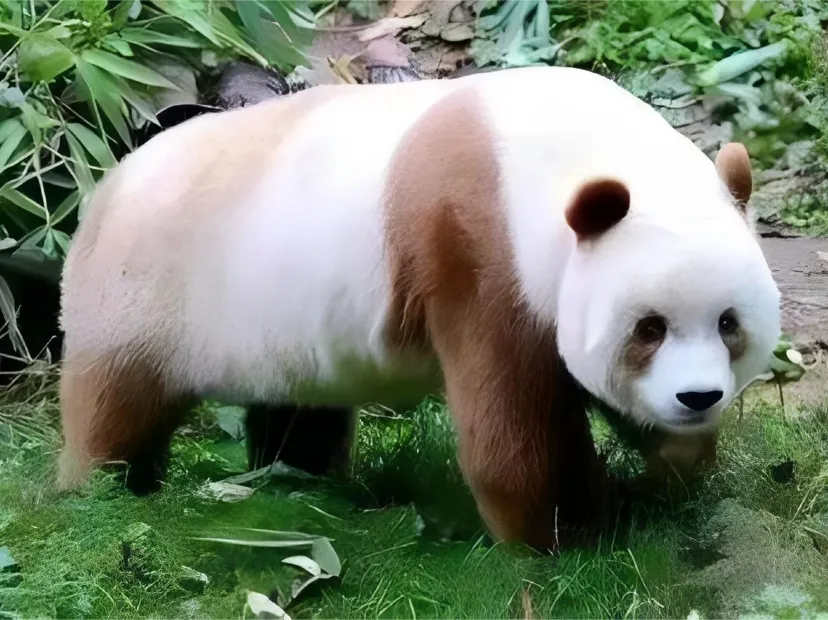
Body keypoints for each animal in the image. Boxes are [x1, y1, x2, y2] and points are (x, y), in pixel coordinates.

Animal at [55, 66, 781, 551]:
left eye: (729, 324)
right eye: (648, 329)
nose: (698, 397)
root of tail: (108, 182)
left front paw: (668, 476)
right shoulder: (476, 248)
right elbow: (512, 426)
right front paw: (575, 531)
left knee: (298, 407)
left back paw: (303, 480)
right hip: (144, 291)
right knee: (115, 404)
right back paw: (101, 492)